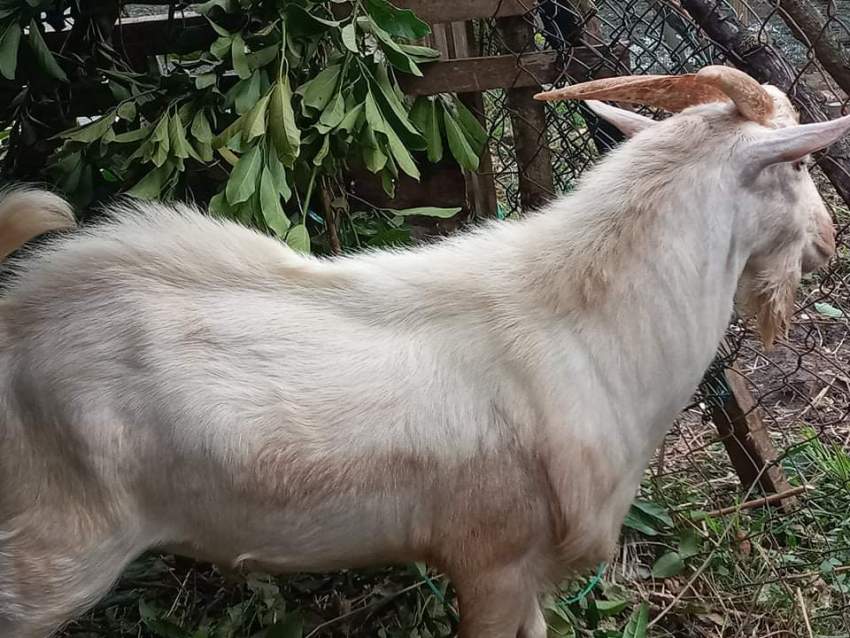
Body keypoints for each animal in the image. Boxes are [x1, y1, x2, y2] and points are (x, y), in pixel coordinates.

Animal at [0, 66, 847, 638]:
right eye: (803, 163)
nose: (829, 244)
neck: (581, 324)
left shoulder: (525, 577)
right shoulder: (492, 562)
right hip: (52, 552)